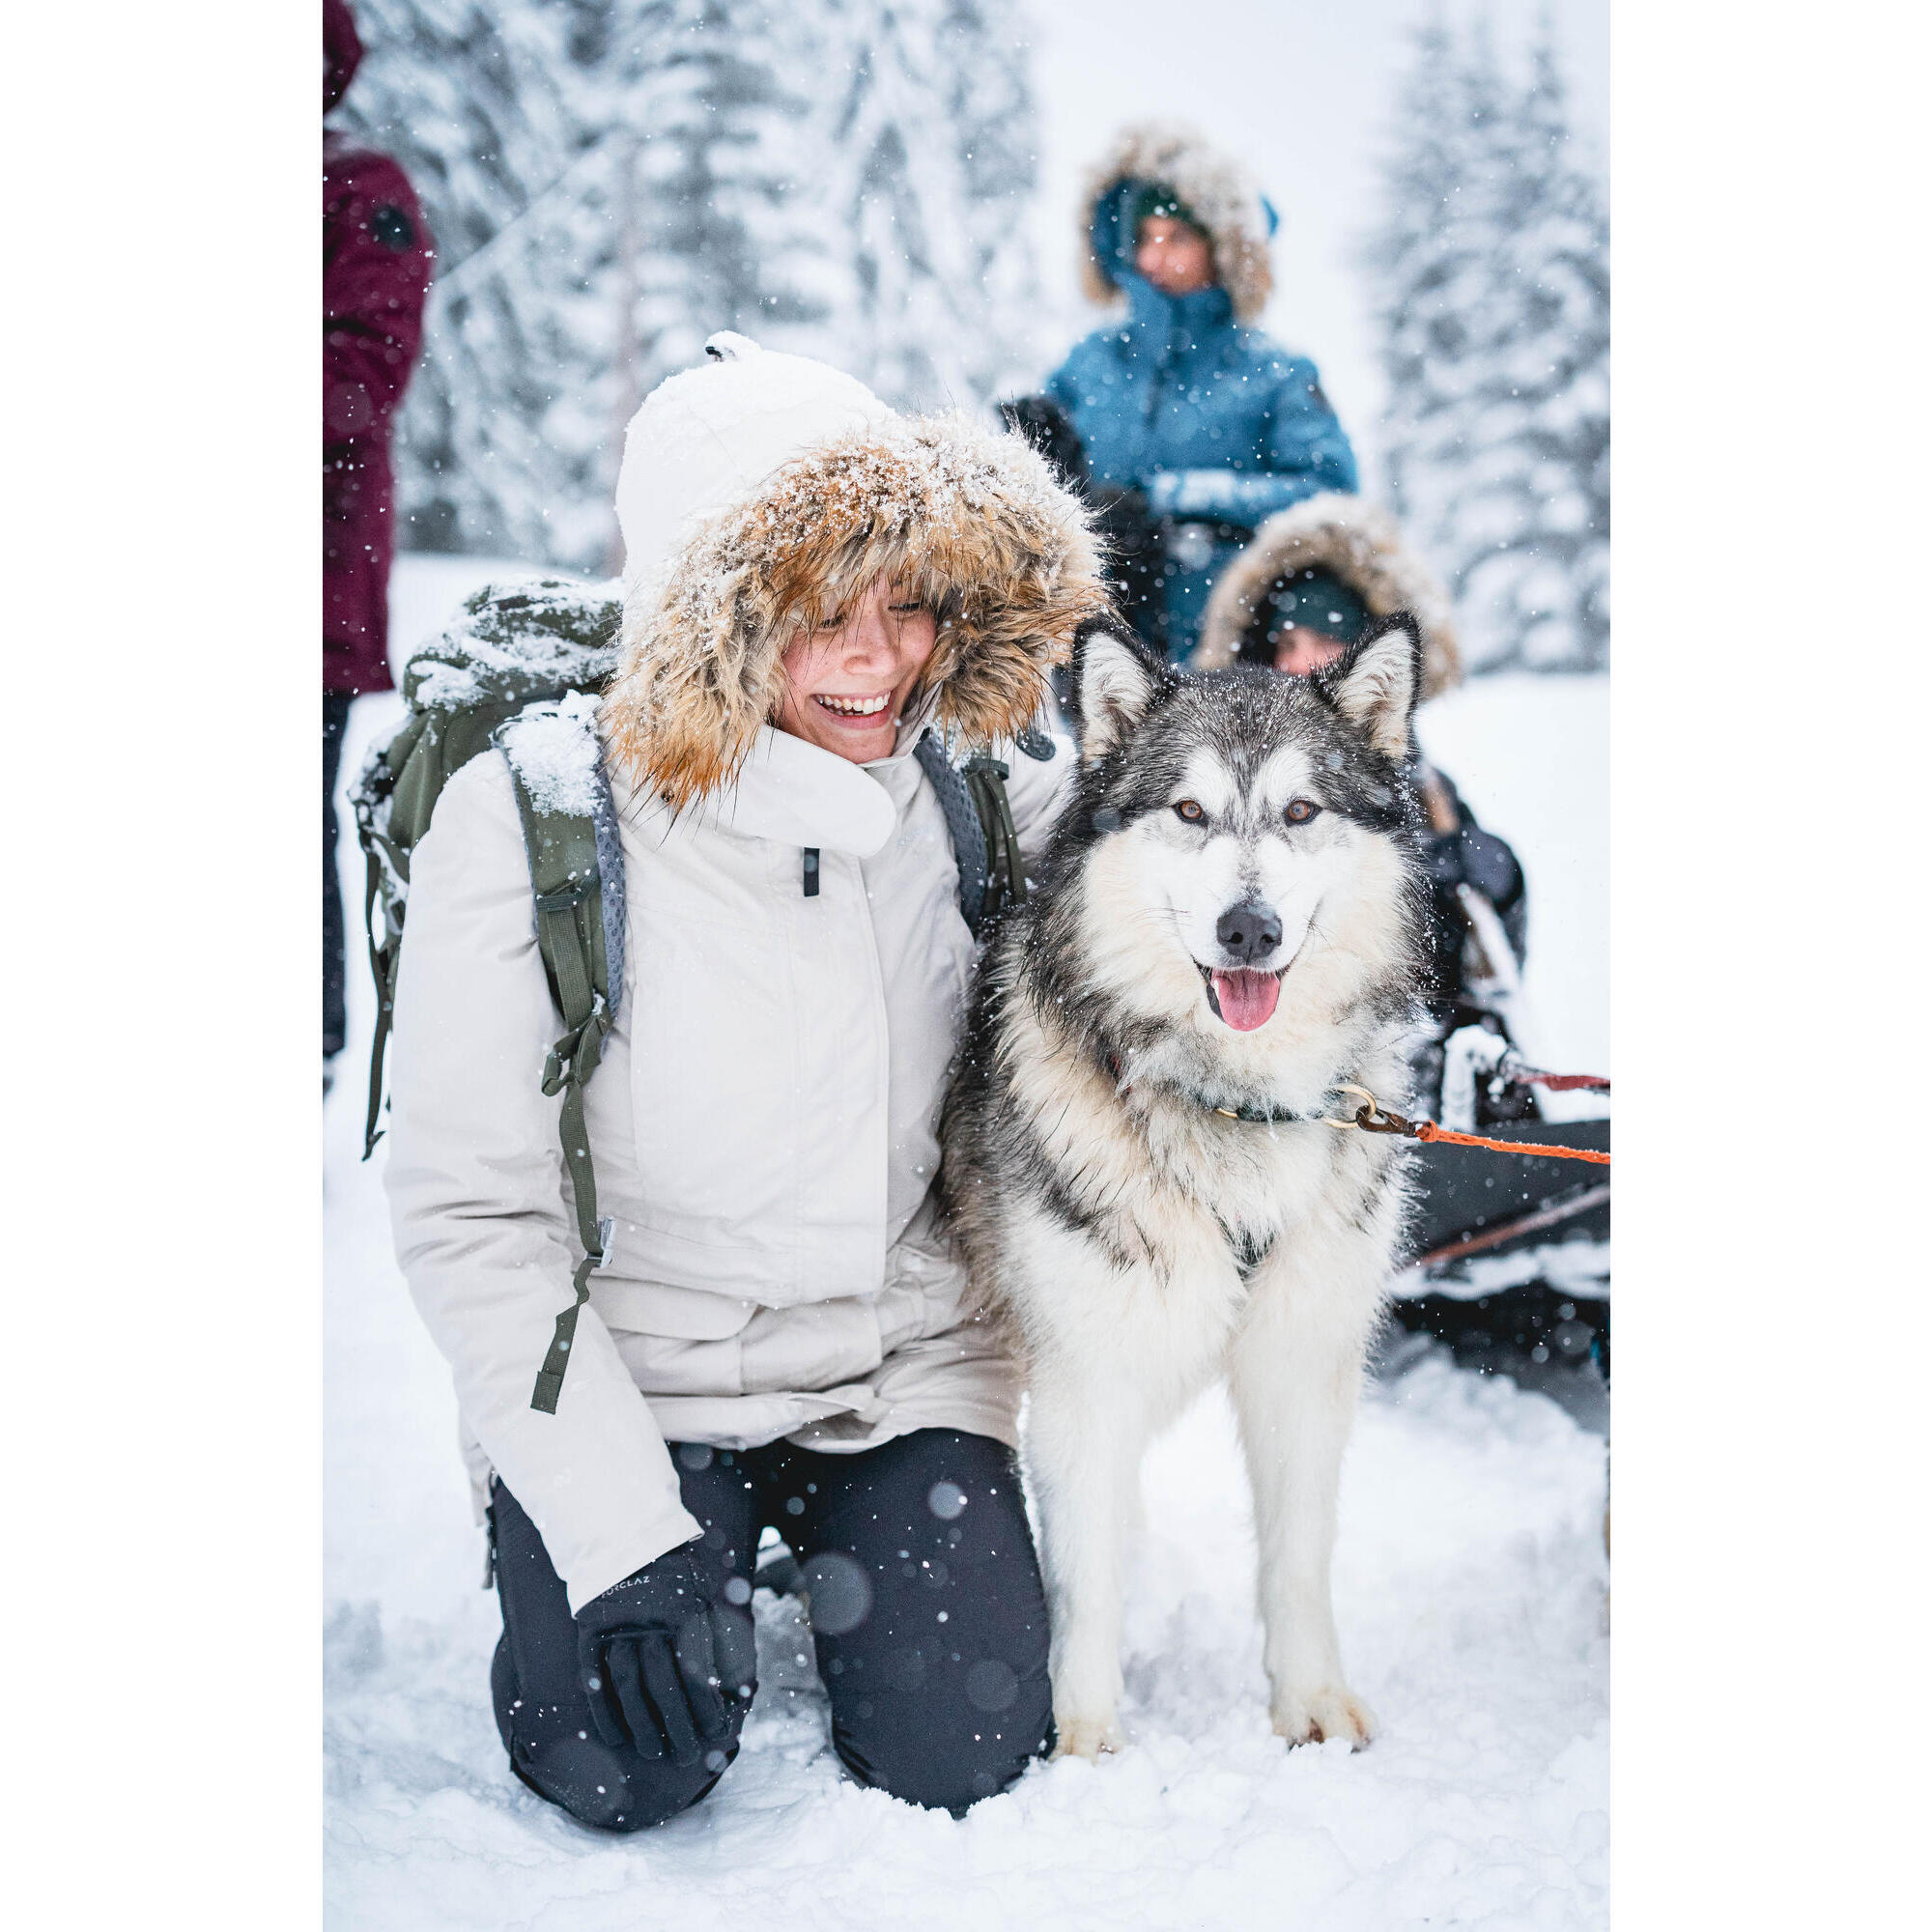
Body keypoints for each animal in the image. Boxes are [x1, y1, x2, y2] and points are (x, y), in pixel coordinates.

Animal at [943, 611, 1430, 1762]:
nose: (1247, 929)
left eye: (1300, 810)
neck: (1235, 1105)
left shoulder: (1302, 1360)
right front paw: (1083, 1742)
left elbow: (1298, 1553)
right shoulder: (1084, 1380)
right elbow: (1084, 1582)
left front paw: (1310, 1705)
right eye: (1189, 810)